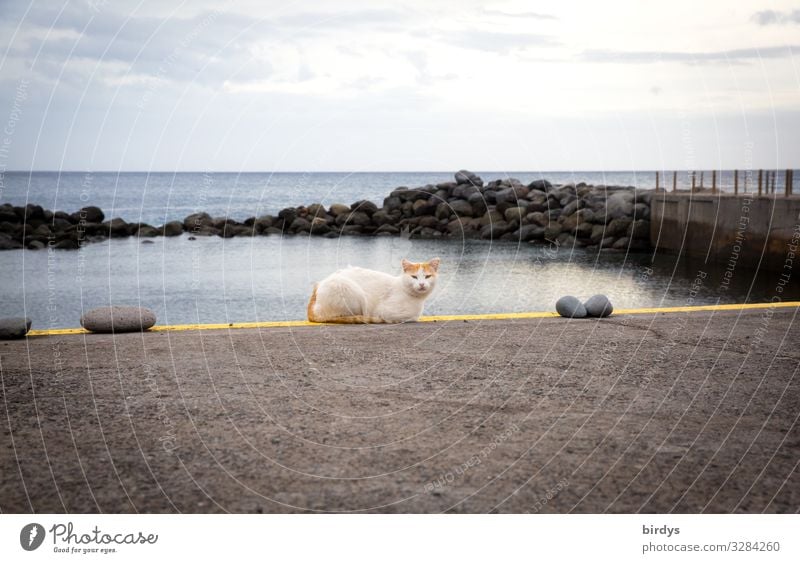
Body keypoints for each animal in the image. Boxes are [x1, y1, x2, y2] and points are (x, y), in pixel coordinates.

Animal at [308, 258, 444, 324]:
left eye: (427, 276)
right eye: (414, 277)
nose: (421, 284)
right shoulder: (384, 311)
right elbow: (409, 318)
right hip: (349, 290)